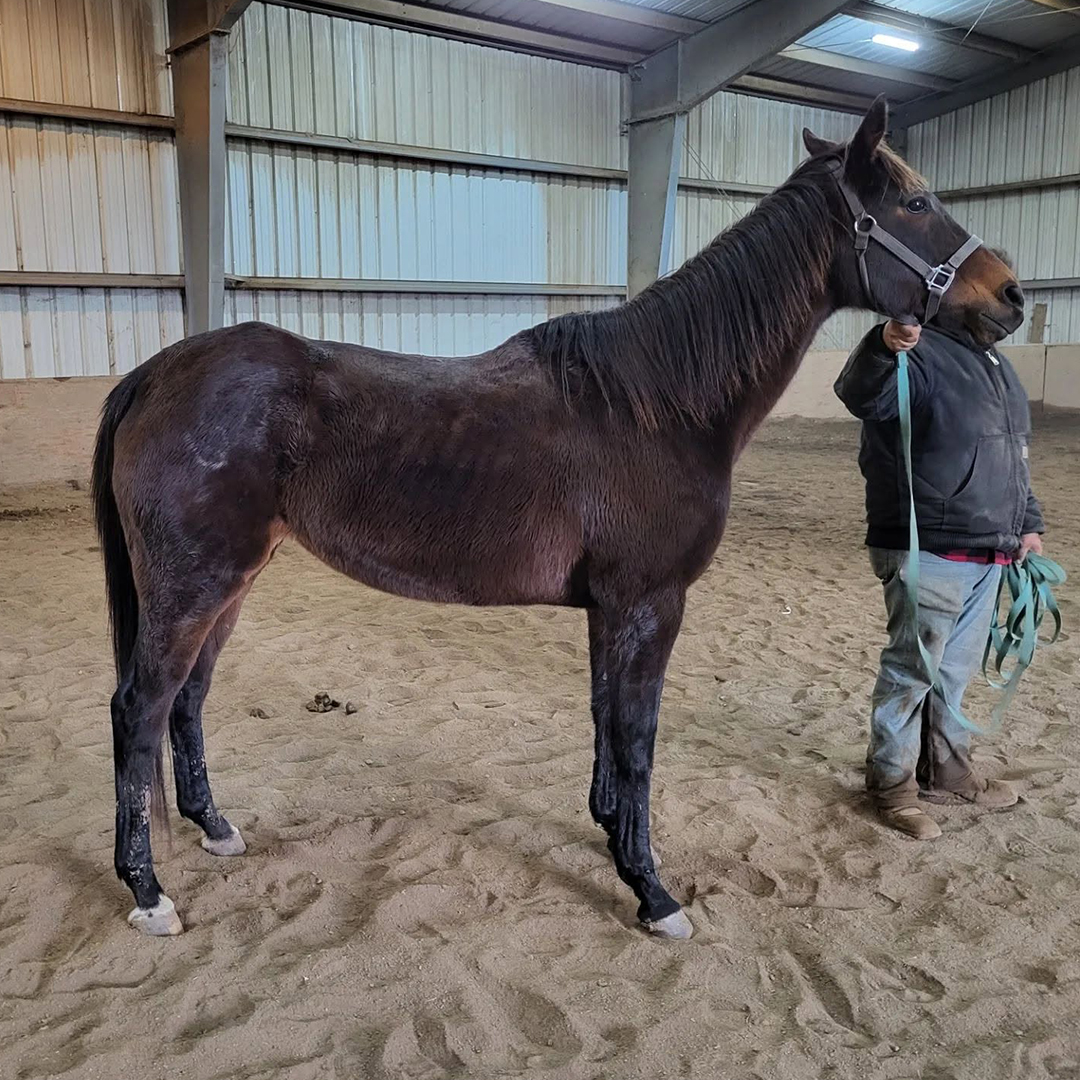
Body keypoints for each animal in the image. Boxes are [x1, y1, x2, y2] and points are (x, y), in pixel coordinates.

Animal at [91, 98, 1023, 939]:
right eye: (914, 204)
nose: (1010, 297)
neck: (656, 405)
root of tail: (159, 371)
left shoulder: (610, 608)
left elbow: (607, 728)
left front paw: (614, 841)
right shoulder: (650, 603)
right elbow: (638, 740)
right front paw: (653, 894)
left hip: (233, 580)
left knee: (188, 699)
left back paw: (215, 829)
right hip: (194, 584)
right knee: (139, 707)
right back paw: (147, 892)